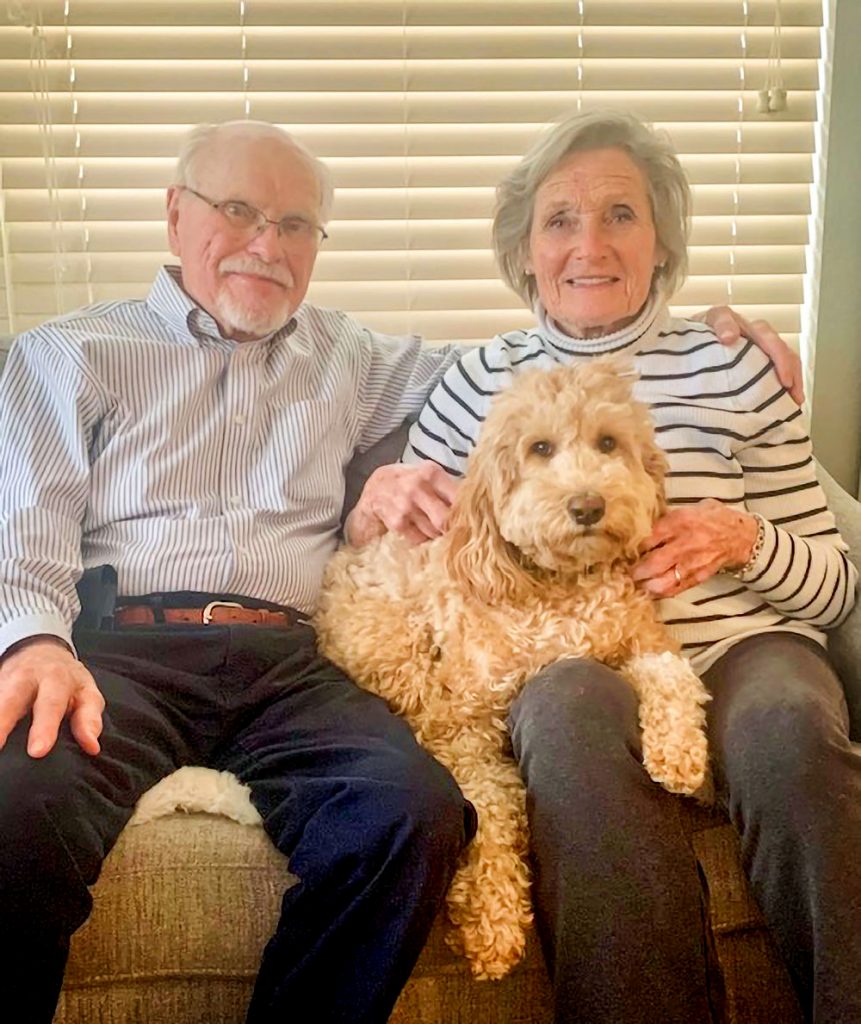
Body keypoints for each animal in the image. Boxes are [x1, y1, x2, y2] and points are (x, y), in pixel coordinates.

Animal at [313, 356, 708, 978]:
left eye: (608, 442)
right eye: (540, 448)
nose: (588, 506)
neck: (560, 588)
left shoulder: (638, 637)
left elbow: (674, 673)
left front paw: (680, 753)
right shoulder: (467, 733)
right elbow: (494, 811)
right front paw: (491, 923)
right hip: (398, 652)